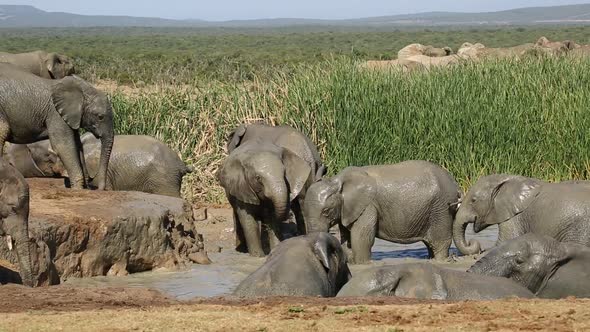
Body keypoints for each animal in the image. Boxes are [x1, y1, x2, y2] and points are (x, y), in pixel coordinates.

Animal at [302, 160, 464, 264]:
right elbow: (347, 239)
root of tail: (455, 184)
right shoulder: (347, 210)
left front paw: (362, 264)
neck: (336, 180)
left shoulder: (368, 206)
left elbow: (361, 238)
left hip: (441, 208)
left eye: (326, 211)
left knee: (440, 242)